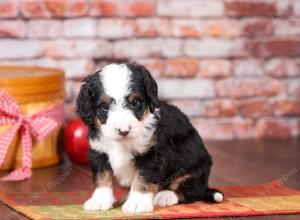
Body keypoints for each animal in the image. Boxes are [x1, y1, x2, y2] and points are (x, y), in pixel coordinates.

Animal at [76, 62, 224, 213]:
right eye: (105, 106)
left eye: (135, 102)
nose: (123, 131)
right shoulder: (98, 151)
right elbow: (101, 177)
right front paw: (99, 200)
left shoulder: (152, 154)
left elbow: (143, 179)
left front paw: (137, 203)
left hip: (194, 169)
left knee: (190, 190)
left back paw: (165, 196)